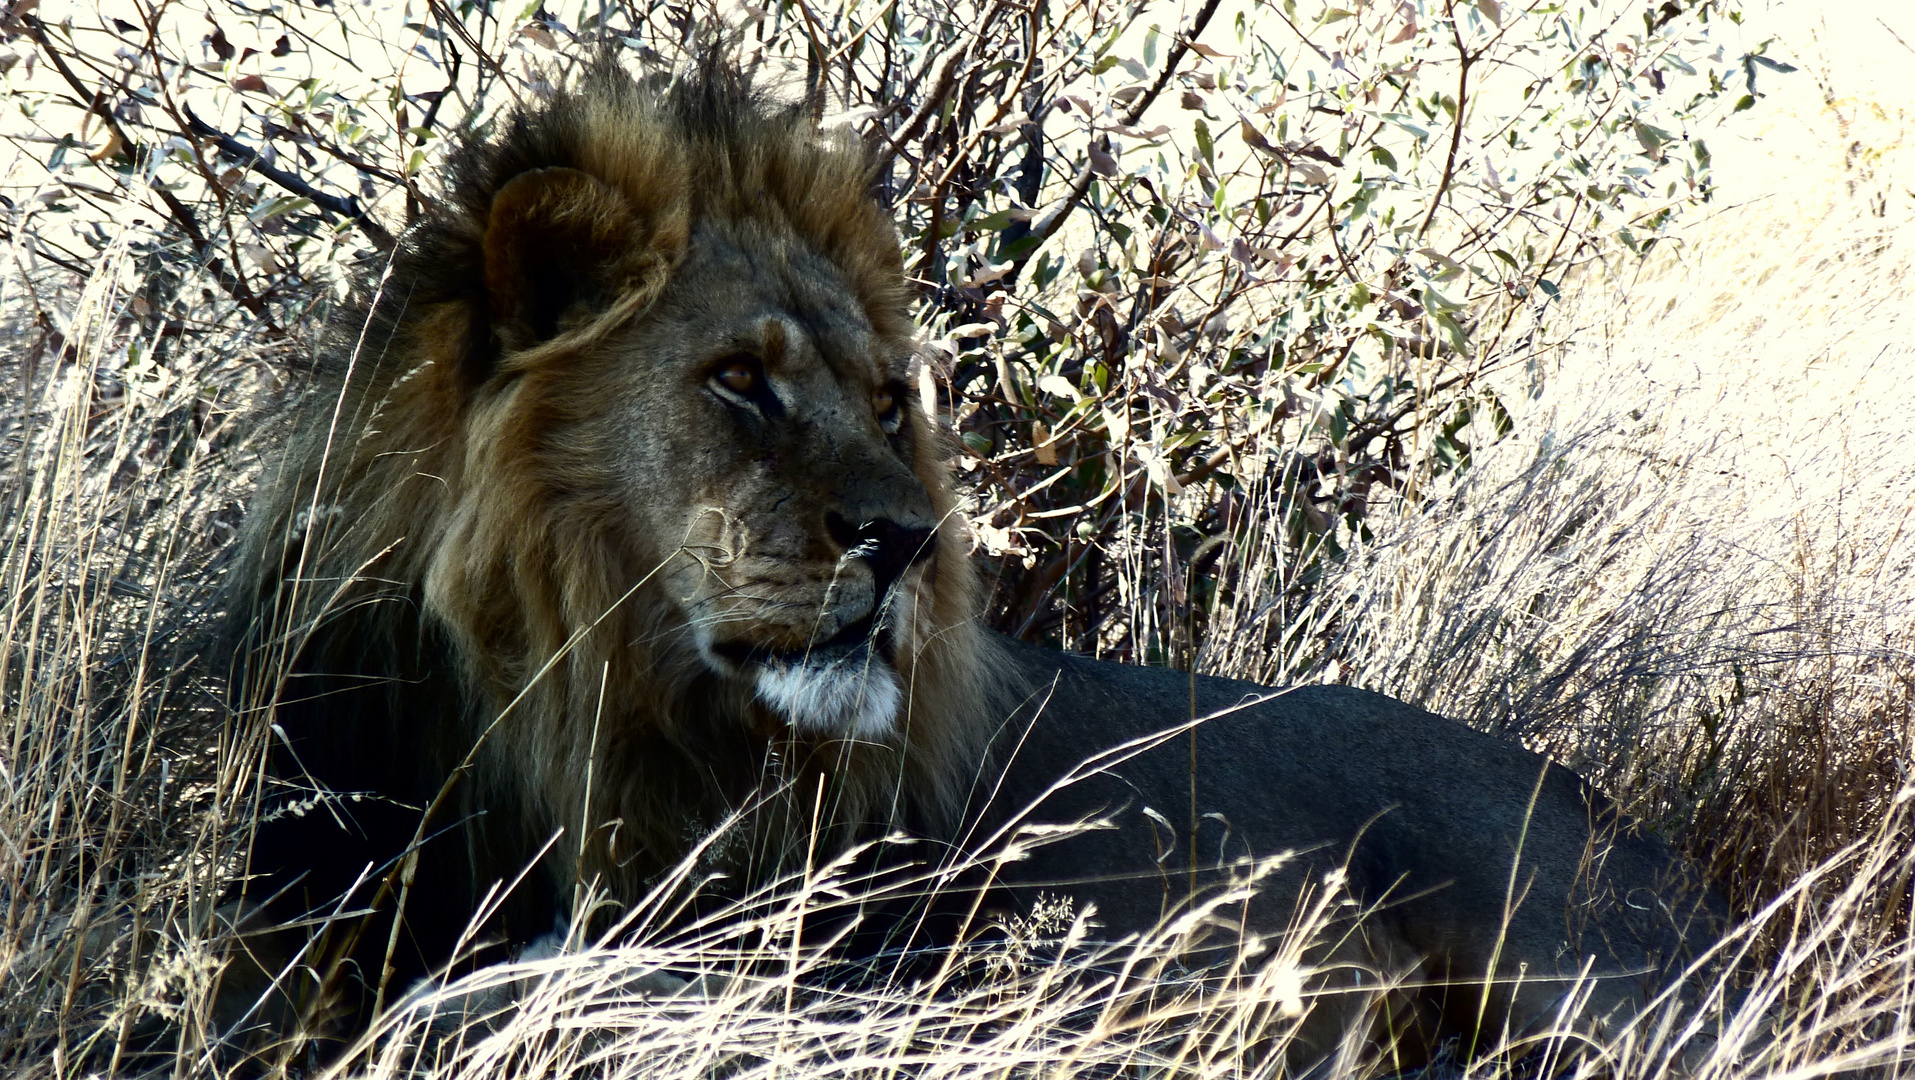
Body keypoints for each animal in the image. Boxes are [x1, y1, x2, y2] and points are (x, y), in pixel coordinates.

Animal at [227, 56, 1738, 1064]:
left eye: (887, 402)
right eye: (737, 383)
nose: (906, 541)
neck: (572, 706)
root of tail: (1606, 806)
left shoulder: (863, 976)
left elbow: (524, 991)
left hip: (1593, 980)